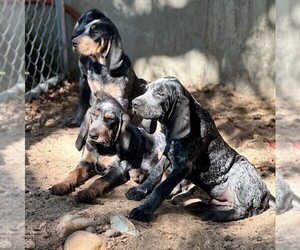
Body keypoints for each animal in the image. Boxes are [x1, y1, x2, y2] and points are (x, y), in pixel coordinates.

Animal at [129, 77, 272, 222]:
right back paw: (200, 206)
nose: (134, 103)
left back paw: (214, 214)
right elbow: (155, 173)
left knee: (243, 210)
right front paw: (139, 191)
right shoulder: (168, 153)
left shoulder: (183, 166)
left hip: (241, 169)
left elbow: (162, 189)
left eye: (160, 94)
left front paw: (144, 210)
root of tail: (267, 194)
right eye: (146, 90)